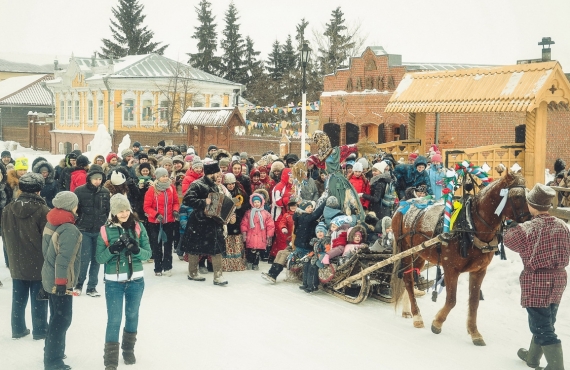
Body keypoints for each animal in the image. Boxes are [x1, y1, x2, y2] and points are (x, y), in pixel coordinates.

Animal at [390, 172, 528, 346]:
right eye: (516, 196)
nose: (529, 218)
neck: (470, 226)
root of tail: (403, 204)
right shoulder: (451, 269)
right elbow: (451, 300)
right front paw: (437, 323)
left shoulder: (479, 271)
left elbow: (474, 302)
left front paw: (474, 332)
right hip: (406, 251)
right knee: (408, 280)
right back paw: (417, 316)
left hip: (419, 254)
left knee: (409, 278)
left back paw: (407, 310)